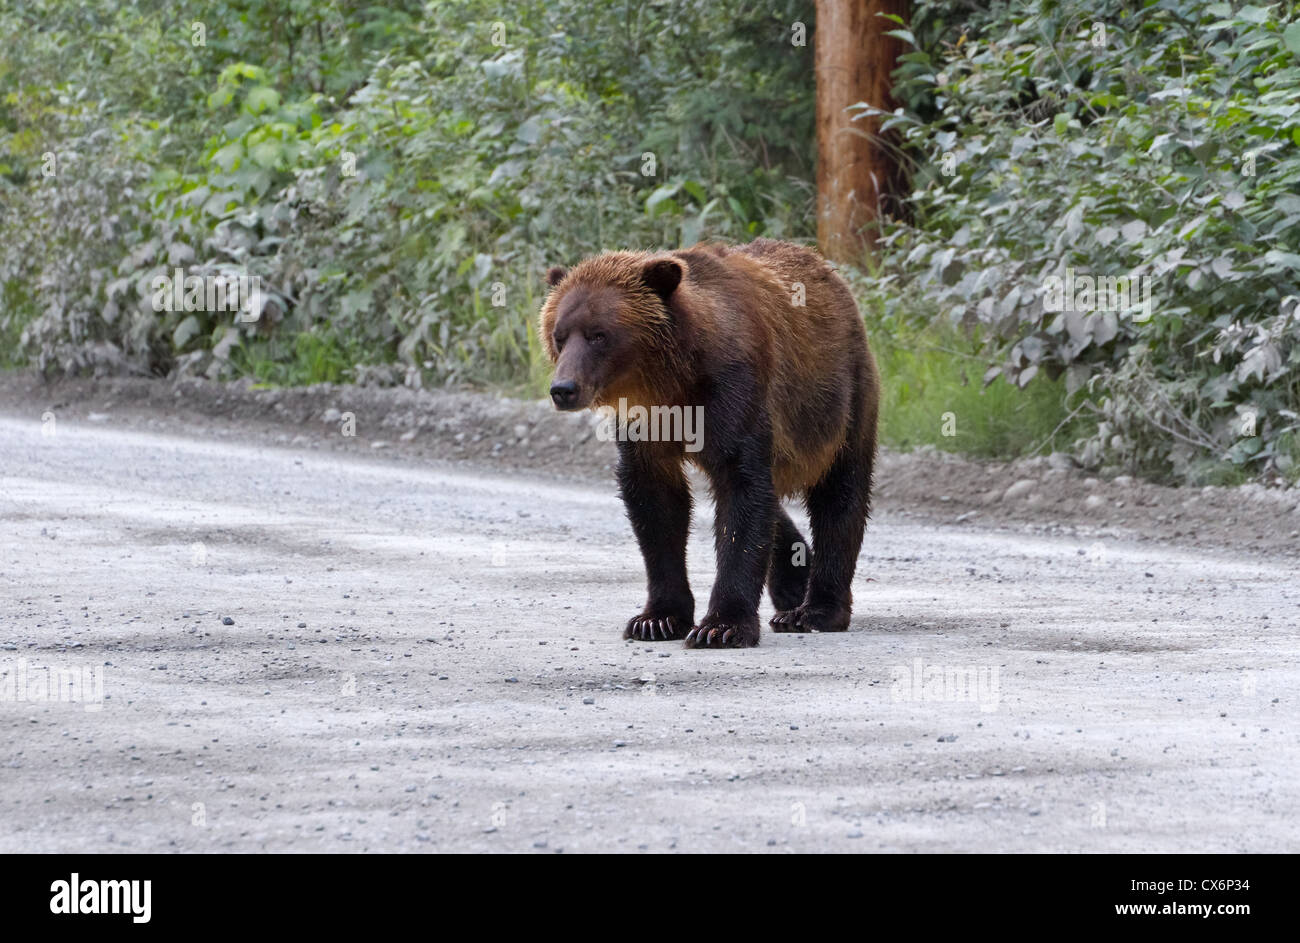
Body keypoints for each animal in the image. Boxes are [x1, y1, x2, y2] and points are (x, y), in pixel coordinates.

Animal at [538, 236, 883, 647]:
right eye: (559, 335)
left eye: (598, 334)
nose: (563, 389)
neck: (670, 381)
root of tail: (828, 271)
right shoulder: (645, 426)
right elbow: (655, 504)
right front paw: (656, 619)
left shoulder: (734, 392)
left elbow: (741, 493)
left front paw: (721, 625)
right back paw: (793, 582)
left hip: (841, 399)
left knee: (840, 494)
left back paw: (816, 609)